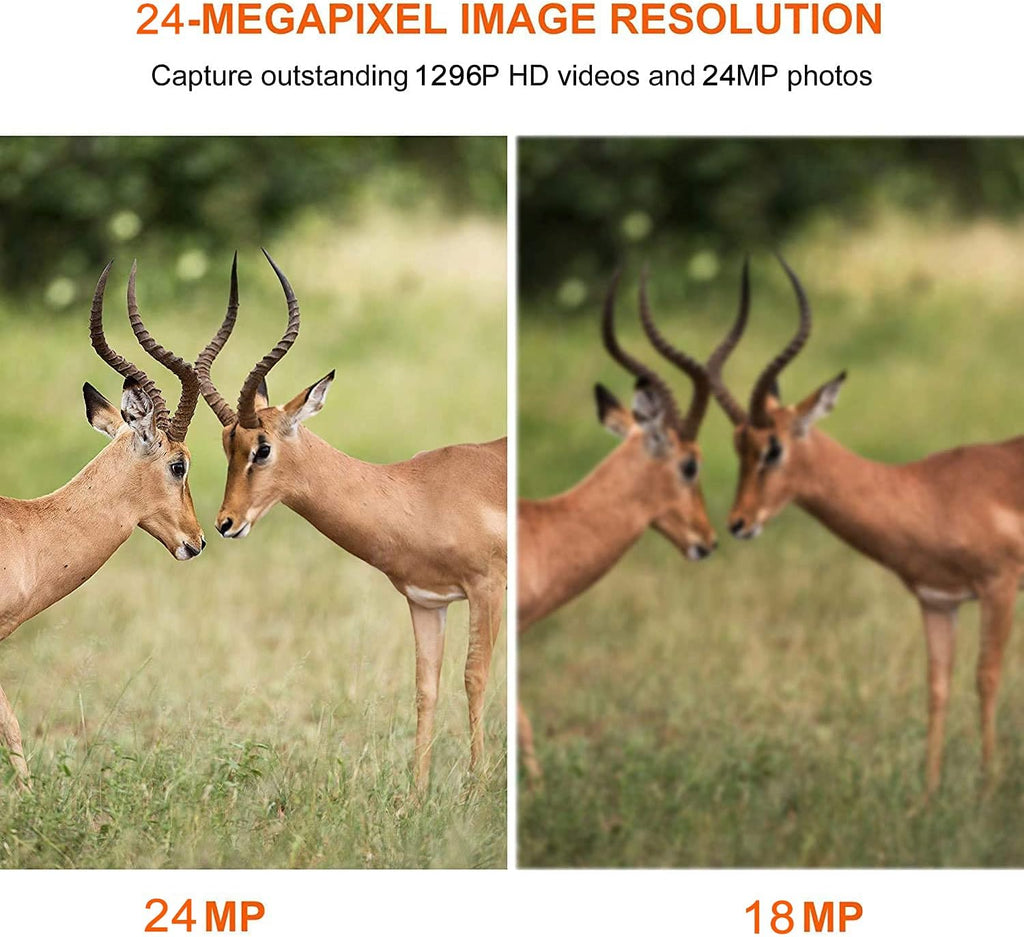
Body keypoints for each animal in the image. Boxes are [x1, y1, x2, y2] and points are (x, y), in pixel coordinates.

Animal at [194, 251, 507, 795]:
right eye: (225, 445)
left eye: (262, 448)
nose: (225, 523)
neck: (420, 492)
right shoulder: (427, 601)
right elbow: (426, 687)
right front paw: (415, 797)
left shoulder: (487, 588)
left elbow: (474, 676)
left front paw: (477, 786)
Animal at [702, 254, 1024, 798]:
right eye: (737, 445)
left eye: (774, 447)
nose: (738, 523)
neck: (931, 493)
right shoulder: (938, 601)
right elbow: (937, 687)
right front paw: (927, 797)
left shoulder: (998, 588)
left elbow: (986, 678)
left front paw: (987, 790)